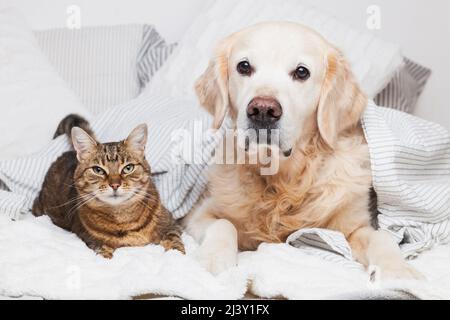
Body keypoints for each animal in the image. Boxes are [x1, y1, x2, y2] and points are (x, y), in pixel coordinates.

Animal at [32, 114, 185, 258]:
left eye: (128, 168)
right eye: (98, 170)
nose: (115, 184)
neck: (123, 217)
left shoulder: (172, 225)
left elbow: (175, 242)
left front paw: (177, 255)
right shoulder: (92, 240)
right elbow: (104, 251)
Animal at [183, 21, 422, 278]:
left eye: (301, 72)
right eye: (244, 66)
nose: (263, 110)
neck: (283, 180)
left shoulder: (353, 227)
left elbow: (381, 238)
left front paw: (398, 270)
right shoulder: (200, 213)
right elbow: (223, 223)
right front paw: (213, 258)